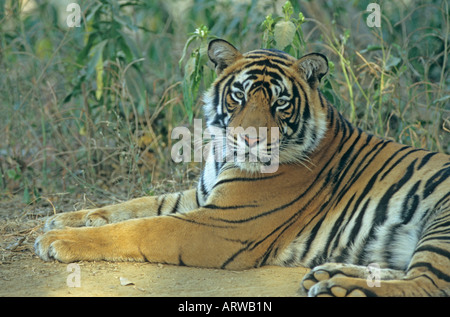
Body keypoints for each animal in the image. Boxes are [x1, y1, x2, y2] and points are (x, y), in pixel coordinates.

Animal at [35, 39, 450, 296]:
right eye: (239, 95)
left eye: (280, 103)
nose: (249, 140)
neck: (224, 156)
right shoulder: (203, 196)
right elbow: (134, 205)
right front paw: (65, 218)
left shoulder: (223, 224)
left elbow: (140, 227)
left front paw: (58, 240)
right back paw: (330, 274)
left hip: (441, 224)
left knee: (428, 283)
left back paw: (339, 286)